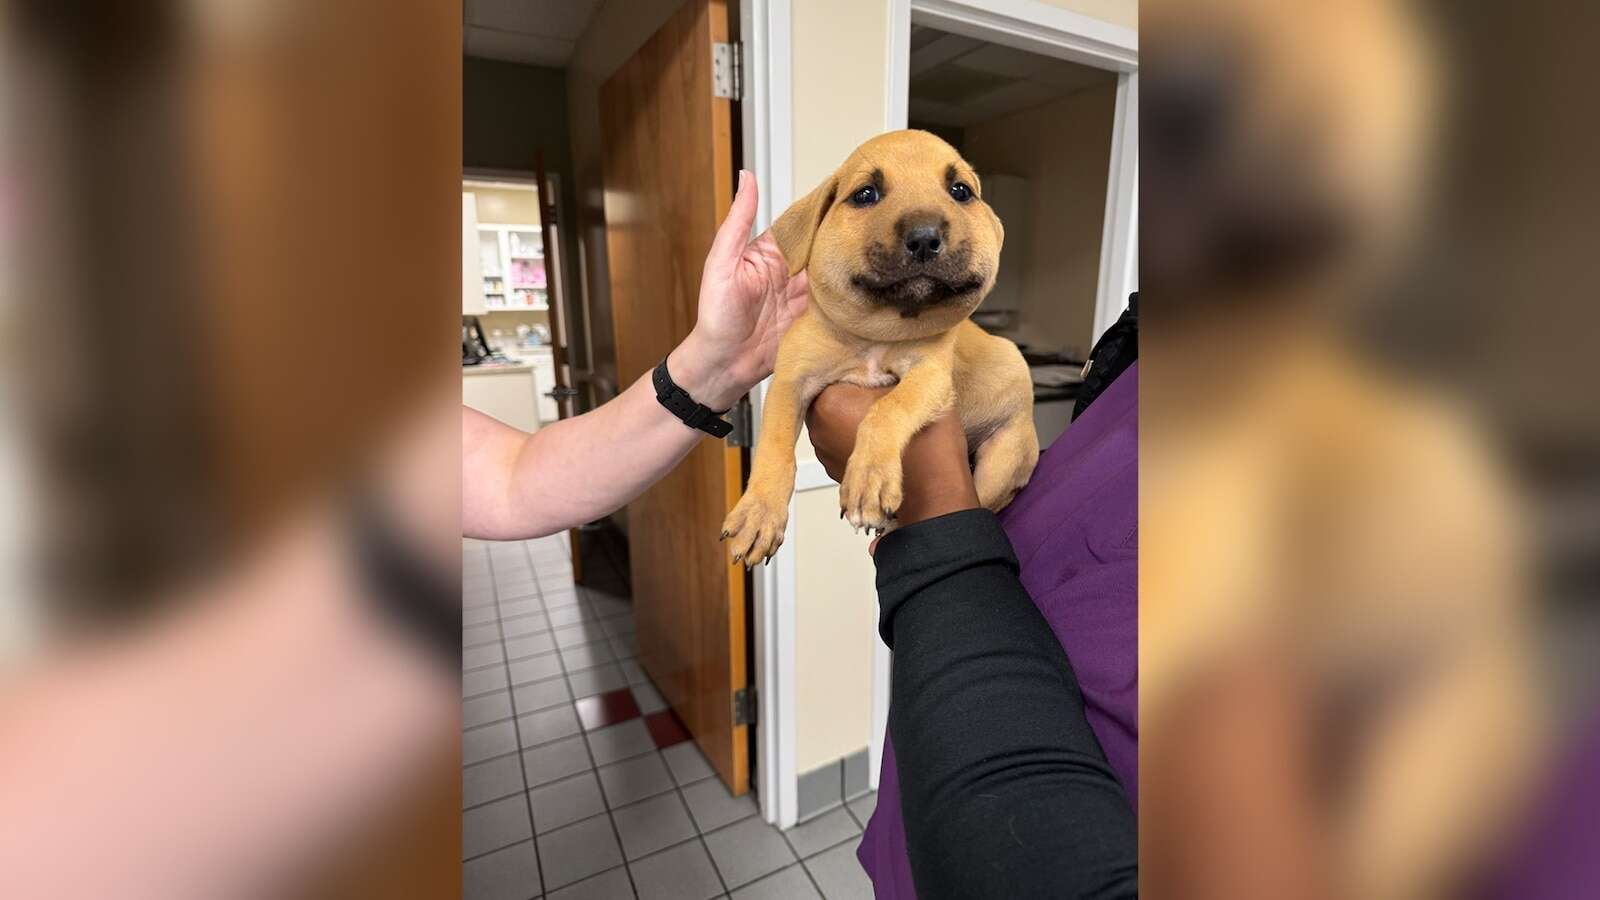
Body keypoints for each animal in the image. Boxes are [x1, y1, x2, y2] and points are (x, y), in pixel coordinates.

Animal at [723, 128, 1036, 560]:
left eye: (960, 191)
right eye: (865, 194)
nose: (925, 236)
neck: (874, 336)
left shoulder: (930, 376)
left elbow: (888, 408)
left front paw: (869, 478)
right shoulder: (791, 380)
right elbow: (774, 445)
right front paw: (758, 513)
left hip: (1002, 459)